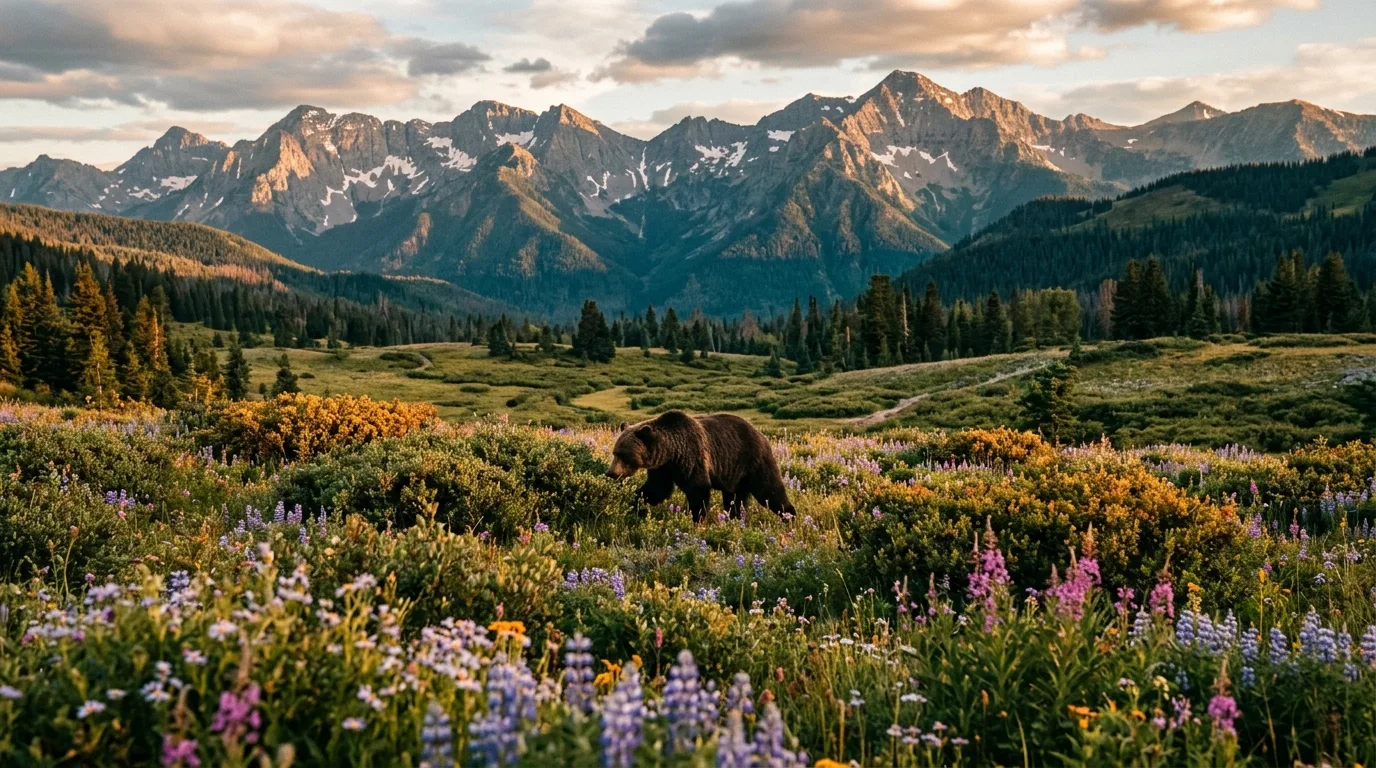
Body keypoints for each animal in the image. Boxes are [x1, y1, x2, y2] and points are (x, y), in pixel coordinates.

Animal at [606, 410, 795, 522]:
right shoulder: (663, 468)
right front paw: (634, 503)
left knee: (769, 490)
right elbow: (656, 489)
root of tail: (761, 434)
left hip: (754, 460)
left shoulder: (692, 456)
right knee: (734, 499)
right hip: (735, 474)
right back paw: (734, 518)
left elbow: (698, 488)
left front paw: (695, 518)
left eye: (623, 455)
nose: (610, 473)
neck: (671, 452)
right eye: (615, 452)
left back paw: (789, 516)